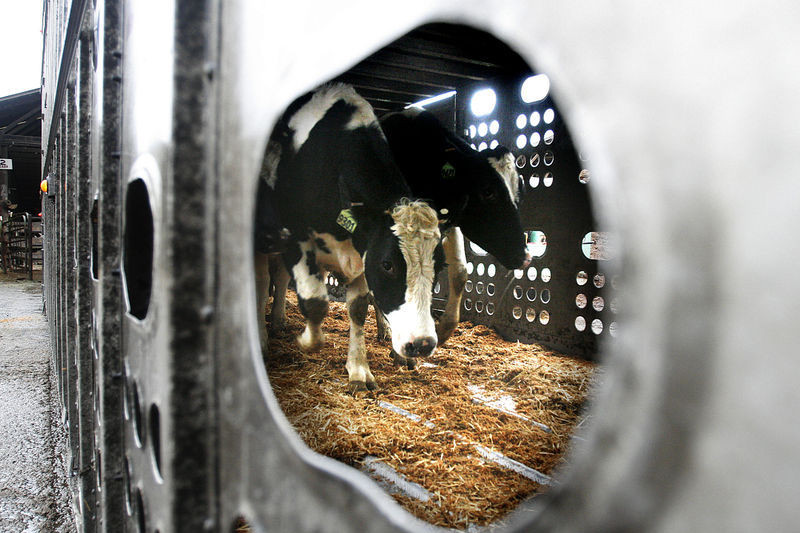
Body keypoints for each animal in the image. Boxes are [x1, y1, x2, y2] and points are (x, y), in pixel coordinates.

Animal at [255, 84, 444, 390]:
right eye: (388, 264)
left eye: (439, 267)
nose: (423, 344)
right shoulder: (294, 240)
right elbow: (315, 302)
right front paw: (307, 341)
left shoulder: (361, 252)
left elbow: (357, 308)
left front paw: (358, 370)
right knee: (262, 282)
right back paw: (263, 337)